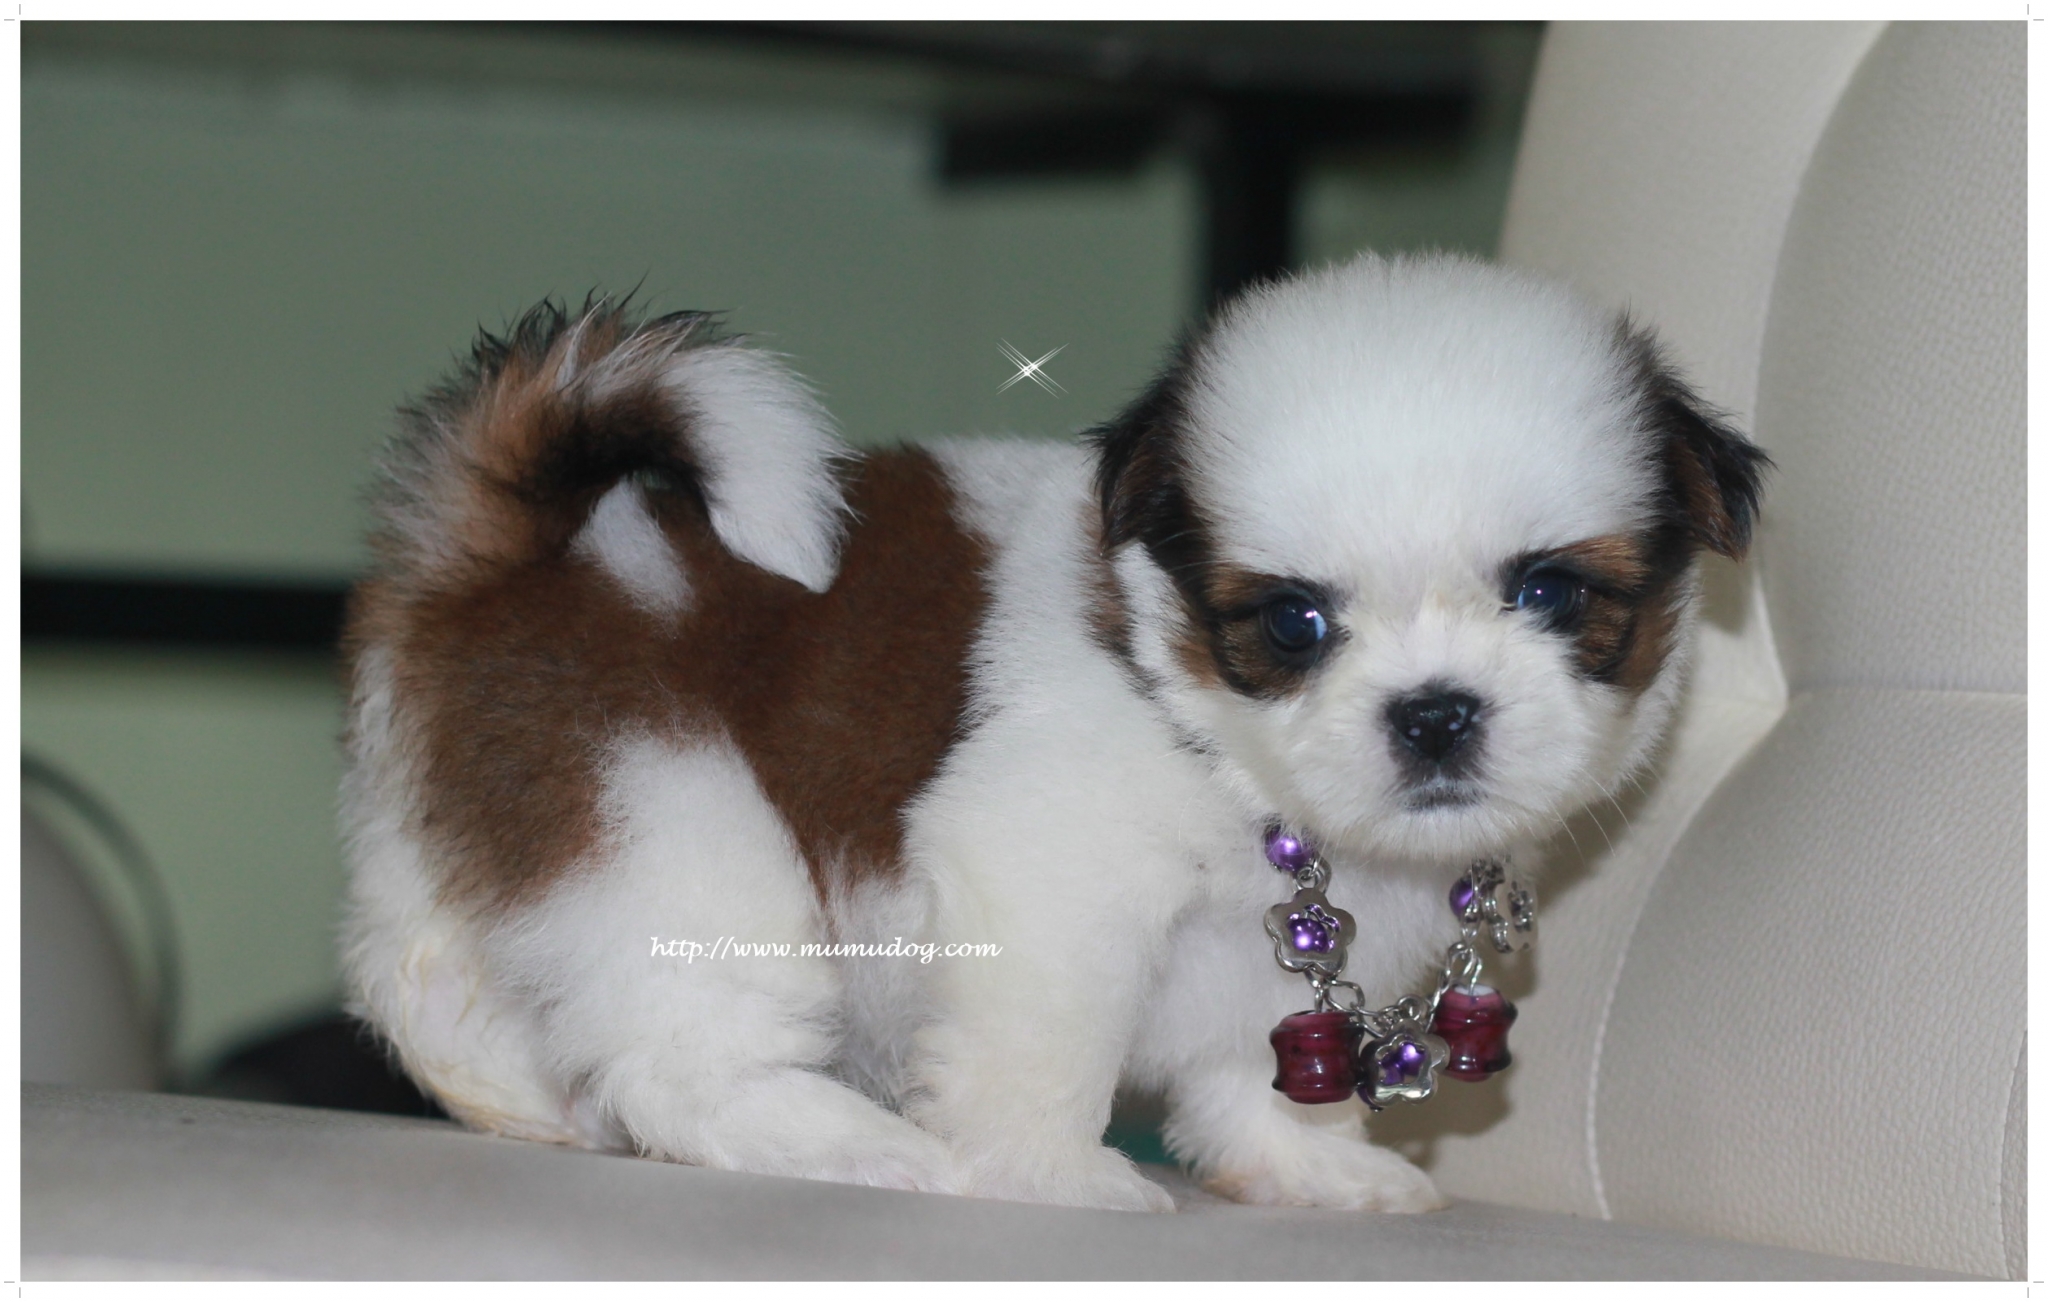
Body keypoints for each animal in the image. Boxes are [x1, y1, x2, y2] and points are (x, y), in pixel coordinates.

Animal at [340, 253, 1767, 1213]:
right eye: (1292, 625)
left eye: (1551, 595)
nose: (1432, 712)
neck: (1212, 735)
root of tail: (516, 554)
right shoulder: (1047, 870)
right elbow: (1044, 1037)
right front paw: (1041, 1174)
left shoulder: (1272, 962)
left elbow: (1252, 1064)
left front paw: (1305, 1167)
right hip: (660, 803)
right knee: (682, 1039)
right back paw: (843, 1143)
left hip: (492, 819)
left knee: (431, 976)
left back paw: (520, 1100)